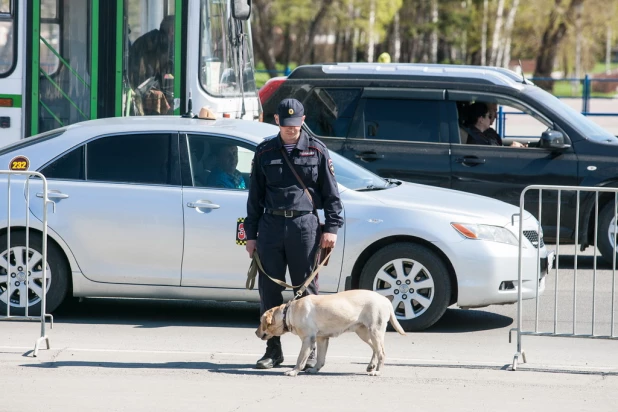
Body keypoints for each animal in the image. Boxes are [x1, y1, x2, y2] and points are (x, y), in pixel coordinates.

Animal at [254, 290, 404, 376]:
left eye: (261, 322)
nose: (255, 332)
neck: (289, 313)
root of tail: (385, 299)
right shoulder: (322, 339)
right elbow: (320, 358)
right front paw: (315, 370)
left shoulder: (308, 340)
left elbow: (300, 359)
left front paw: (294, 371)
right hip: (364, 333)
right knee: (375, 349)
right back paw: (371, 366)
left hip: (375, 331)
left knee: (381, 352)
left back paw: (377, 371)